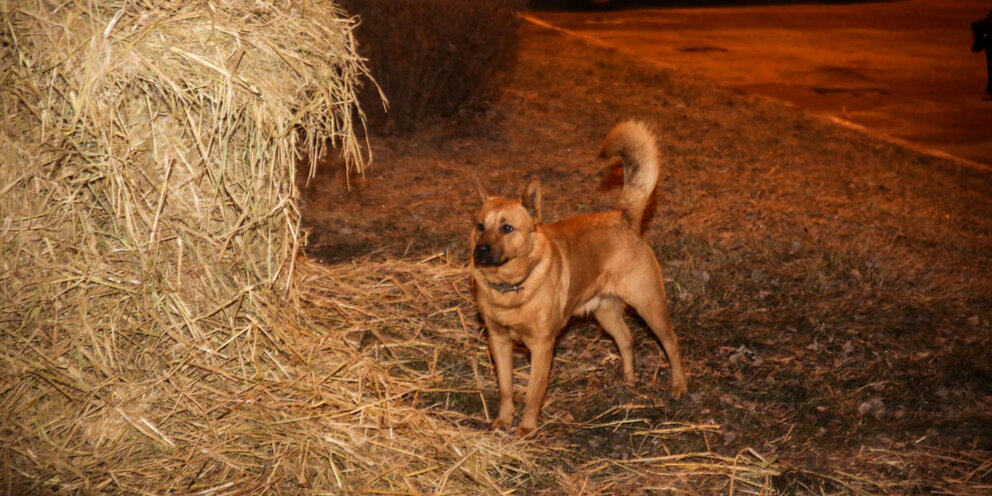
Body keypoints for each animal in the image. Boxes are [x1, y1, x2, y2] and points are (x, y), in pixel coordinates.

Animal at [472, 120, 688, 434]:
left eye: (507, 228)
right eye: (480, 226)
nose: (481, 250)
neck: (510, 288)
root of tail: (624, 217)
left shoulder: (542, 346)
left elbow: (534, 392)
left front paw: (526, 428)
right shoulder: (498, 341)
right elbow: (506, 388)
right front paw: (503, 420)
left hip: (650, 306)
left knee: (671, 343)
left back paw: (679, 386)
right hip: (605, 312)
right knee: (626, 339)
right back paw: (628, 379)